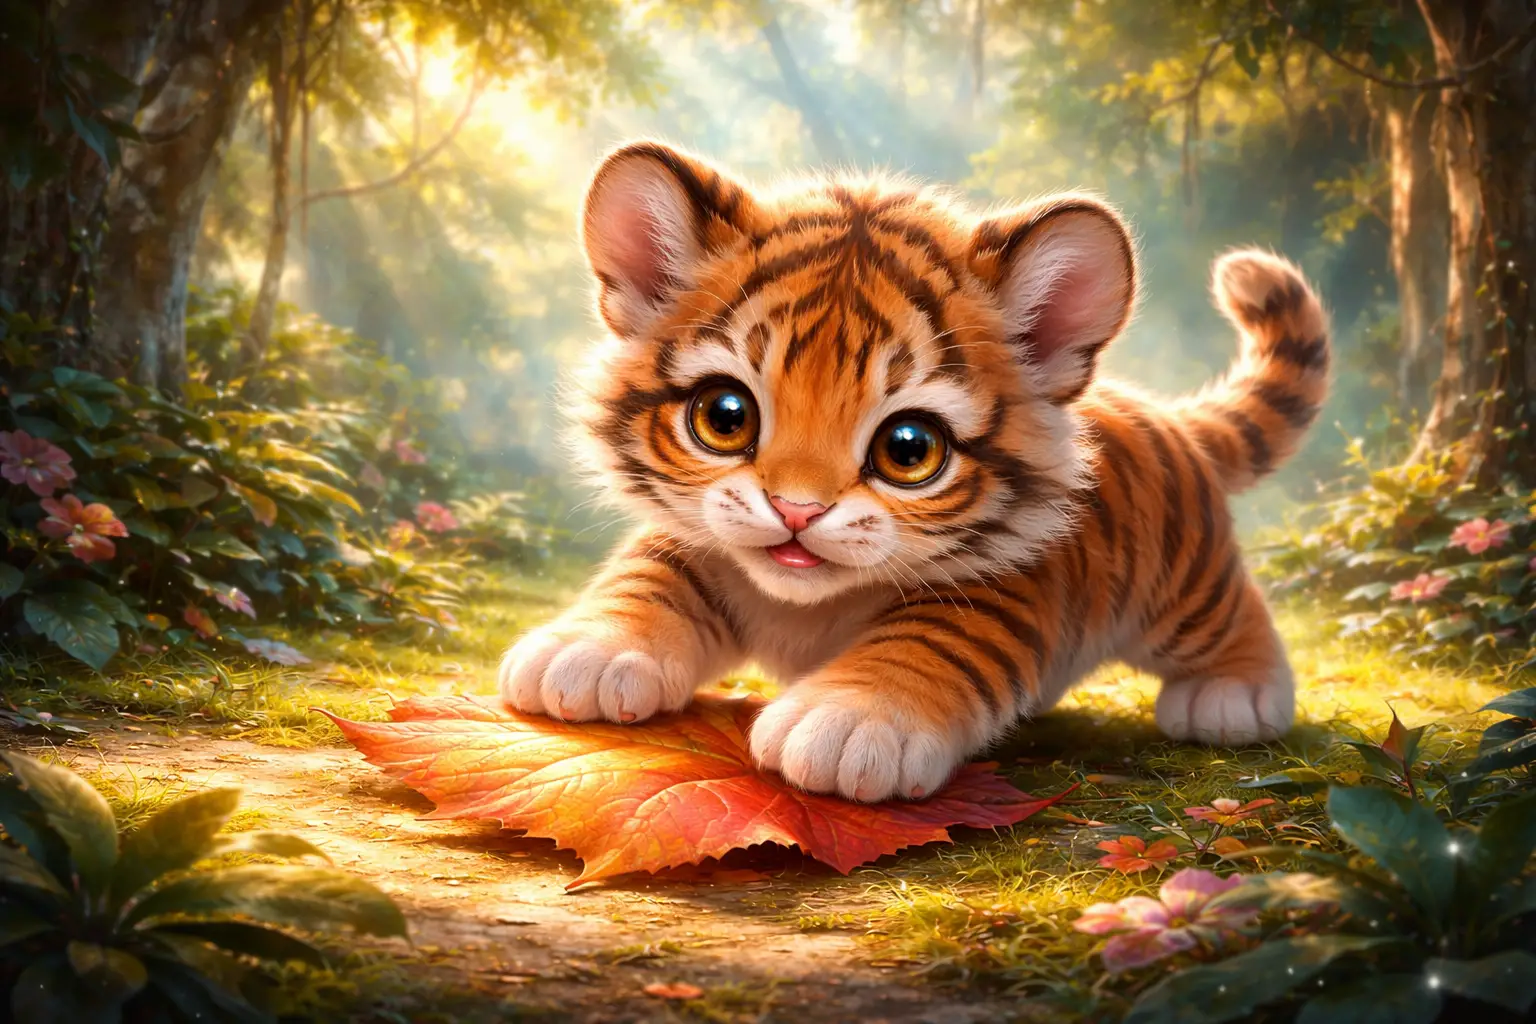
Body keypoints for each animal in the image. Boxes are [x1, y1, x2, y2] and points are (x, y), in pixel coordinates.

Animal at [496, 141, 1330, 803]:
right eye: (724, 417)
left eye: (908, 449)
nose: (795, 510)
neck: (807, 605)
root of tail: (1159, 411)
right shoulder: (695, 536)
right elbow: (648, 573)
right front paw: (588, 651)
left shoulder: (1000, 590)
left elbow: (924, 644)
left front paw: (847, 721)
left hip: (1186, 590)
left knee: (1235, 613)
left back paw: (1235, 695)